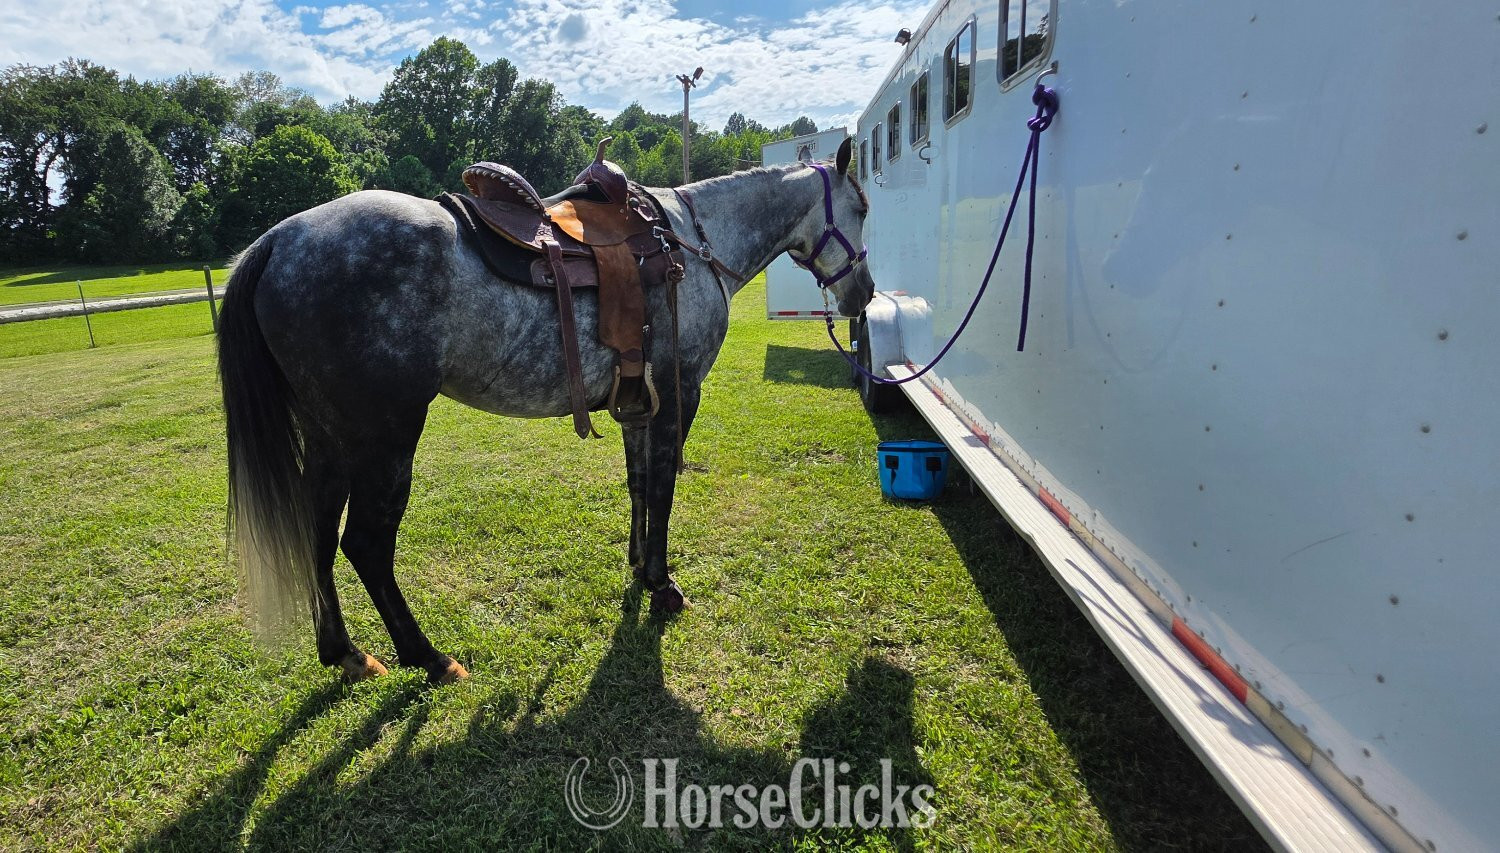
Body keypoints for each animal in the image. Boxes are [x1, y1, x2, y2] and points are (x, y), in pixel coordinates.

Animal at [217, 138, 873, 684]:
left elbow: (639, 485)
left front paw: (639, 566)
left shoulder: (638, 403)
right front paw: (663, 586)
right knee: (367, 545)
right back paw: (428, 658)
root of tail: (279, 240)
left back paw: (345, 652)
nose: (863, 294)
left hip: (329, 435)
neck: (690, 241)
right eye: (863, 207)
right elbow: (662, 489)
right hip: (386, 438)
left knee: (319, 531)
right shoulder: (678, 395)